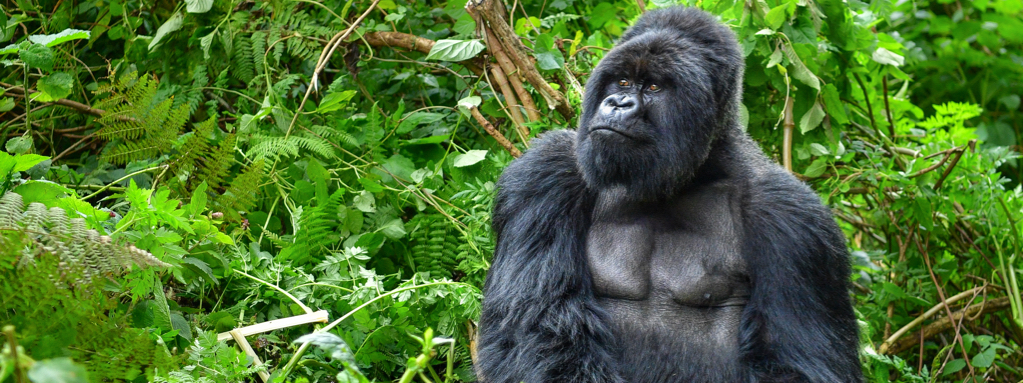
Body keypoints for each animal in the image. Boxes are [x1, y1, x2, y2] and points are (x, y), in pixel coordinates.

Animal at [474, 5, 859, 383]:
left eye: (655, 87)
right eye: (623, 81)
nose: (618, 103)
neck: (690, 174)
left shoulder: (792, 219)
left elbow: (798, 361)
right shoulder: (546, 173)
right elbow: (535, 325)